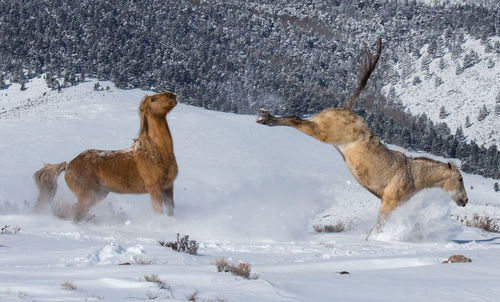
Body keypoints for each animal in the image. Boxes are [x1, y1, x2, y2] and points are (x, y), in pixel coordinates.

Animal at [33, 91, 179, 221]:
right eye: (153, 99)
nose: (172, 95)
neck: (155, 152)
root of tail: (69, 164)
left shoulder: (168, 187)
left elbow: (171, 209)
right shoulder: (155, 188)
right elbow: (159, 211)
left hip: (99, 194)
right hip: (88, 196)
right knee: (73, 210)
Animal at [258, 36, 468, 223]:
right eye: (459, 179)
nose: (465, 200)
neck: (413, 175)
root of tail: (345, 108)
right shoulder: (388, 203)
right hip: (323, 133)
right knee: (295, 119)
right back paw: (265, 118)